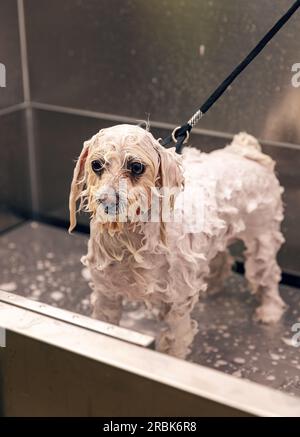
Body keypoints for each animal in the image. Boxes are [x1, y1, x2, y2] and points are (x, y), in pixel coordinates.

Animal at [68, 124, 286, 356]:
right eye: (96, 165)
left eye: (136, 167)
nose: (107, 202)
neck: (132, 241)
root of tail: (246, 151)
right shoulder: (106, 296)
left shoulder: (178, 303)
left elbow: (176, 342)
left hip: (262, 236)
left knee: (269, 274)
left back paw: (270, 311)